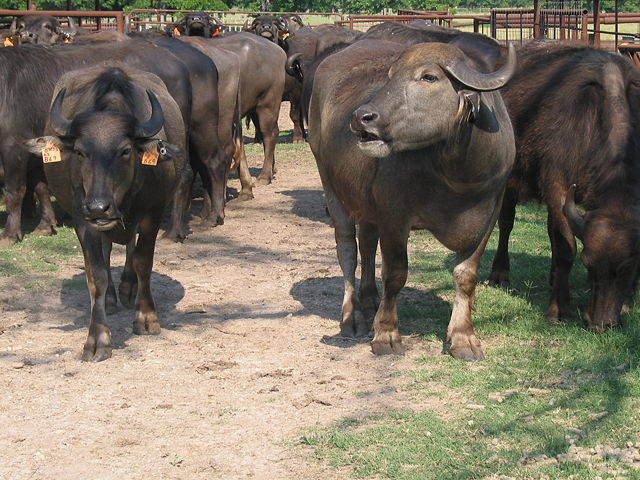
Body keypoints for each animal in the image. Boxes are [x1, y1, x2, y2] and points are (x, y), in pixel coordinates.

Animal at [26, 65, 186, 361]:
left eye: (125, 150)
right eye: (79, 151)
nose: (98, 206)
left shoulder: (154, 211)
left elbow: (143, 261)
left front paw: (146, 317)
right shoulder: (82, 218)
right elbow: (96, 274)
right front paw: (98, 338)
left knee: (130, 246)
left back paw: (128, 288)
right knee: (108, 249)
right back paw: (112, 297)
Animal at [309, 40, 516, 359]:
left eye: (429, 77)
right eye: (390, 76)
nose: (361, 117)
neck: (457, 177)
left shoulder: (489, 214)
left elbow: (466, 275)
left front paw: (463, 337)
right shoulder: (394, 215)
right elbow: (395, 273)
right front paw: (386, 334)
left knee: (366, 243)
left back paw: (370, 299)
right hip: (331, 185)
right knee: (347, 249)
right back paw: (352, 317)